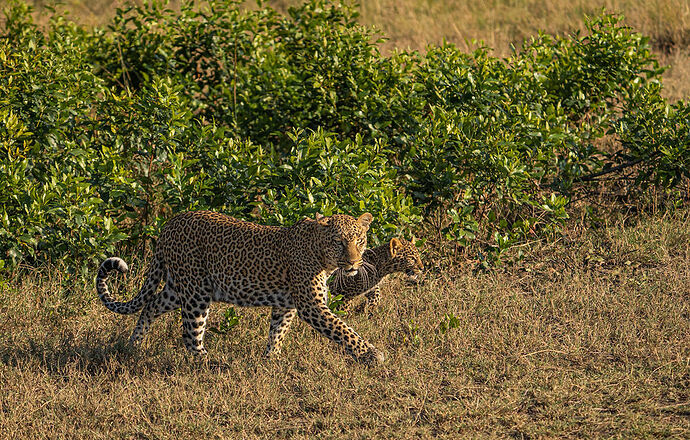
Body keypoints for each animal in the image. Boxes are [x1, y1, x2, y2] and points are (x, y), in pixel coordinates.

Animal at [94, 210, 384, 364]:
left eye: (360, 240)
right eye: (339, 242)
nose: (354, 261)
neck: (322, 256)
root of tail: (169, 224)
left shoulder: (287, 305)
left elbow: (277, 332)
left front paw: (271, 360)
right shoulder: (310, 305)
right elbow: (343, 329)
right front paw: (371, 353)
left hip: (178, 289)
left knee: (151, 305)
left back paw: (134, 345)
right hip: (196, 293)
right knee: (190, 333)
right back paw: (208, 363)